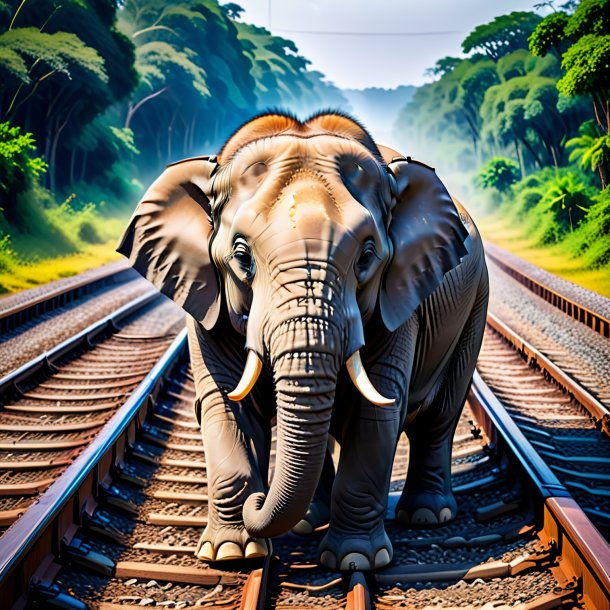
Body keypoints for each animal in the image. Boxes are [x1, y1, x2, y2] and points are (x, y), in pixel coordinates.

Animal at [117, 110, 490, 568]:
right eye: (241, 256)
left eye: (367, 256)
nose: (258, 501)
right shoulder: (203, 297)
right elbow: (225, 405)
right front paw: (231, 554)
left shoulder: (400, 300)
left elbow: (377, 410)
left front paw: (355, 561)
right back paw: (307, 521)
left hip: (476, 302)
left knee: (439, 418)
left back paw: (427, 515)